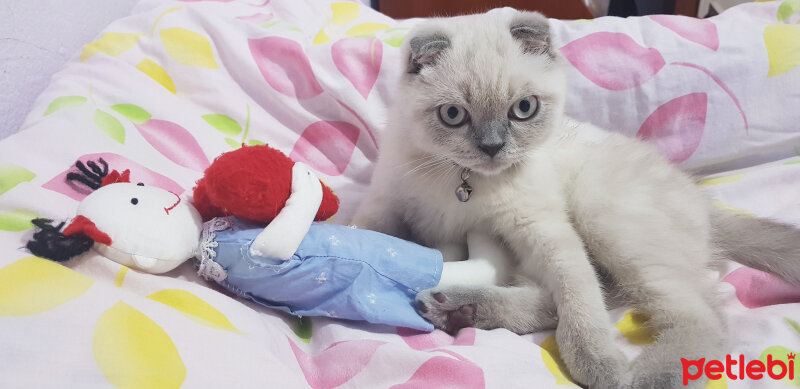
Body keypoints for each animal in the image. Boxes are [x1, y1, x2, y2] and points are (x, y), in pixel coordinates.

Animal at [352, 9, 800, 388]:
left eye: (524, 109)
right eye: (453, 115)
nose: (493, 148)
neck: (462, 184)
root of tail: (700, 199)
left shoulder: (543, 229)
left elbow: (578, 297)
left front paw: (598, 364)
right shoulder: (385, 204)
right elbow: (361, 232)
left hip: (603, 219)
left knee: (696, 317)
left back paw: (651, 377)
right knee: (588, 294)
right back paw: (456, 308)